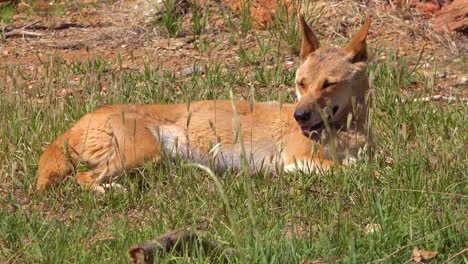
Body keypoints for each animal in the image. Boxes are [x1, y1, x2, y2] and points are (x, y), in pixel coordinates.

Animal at [35, 16, 372, 194]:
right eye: (301, 83)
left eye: (328, 84)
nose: (299, 115)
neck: (347, 133)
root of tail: (82, 121)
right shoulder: (298, 161)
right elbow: (355, 171)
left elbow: (365, 165)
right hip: (143, 152)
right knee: (82, 178)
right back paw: (108, 192)